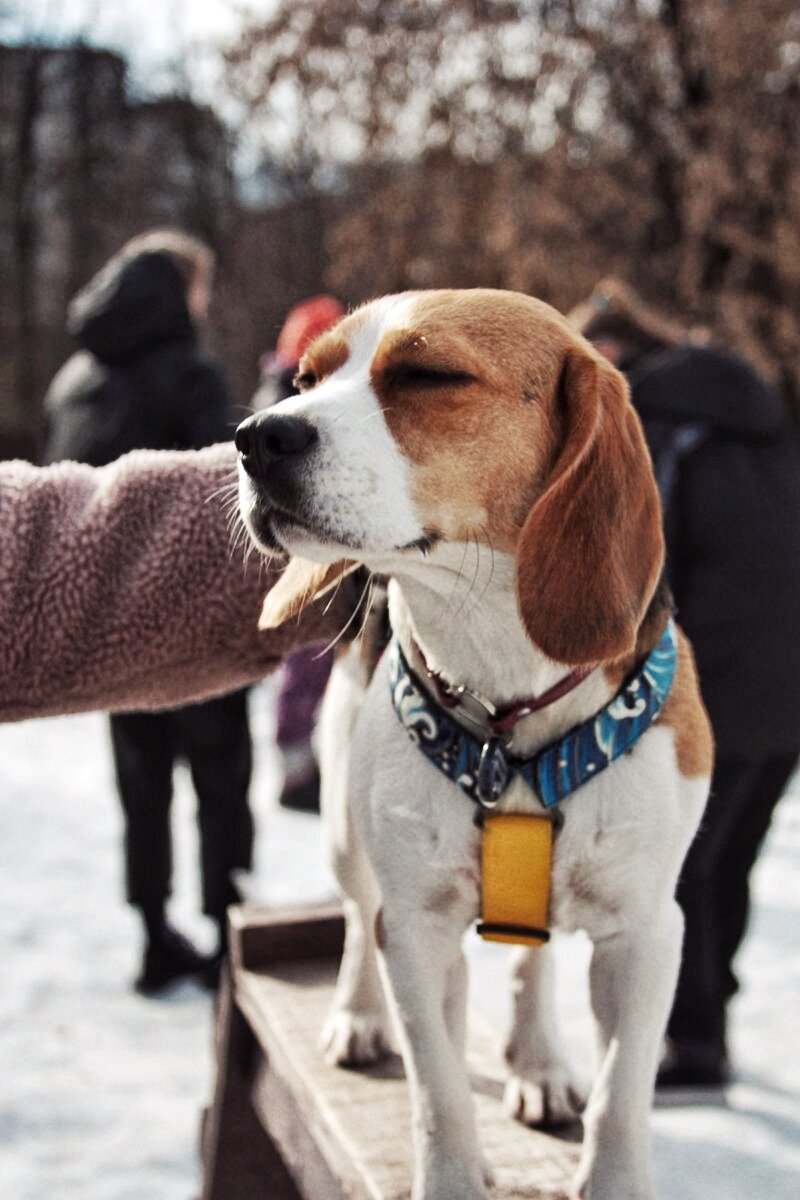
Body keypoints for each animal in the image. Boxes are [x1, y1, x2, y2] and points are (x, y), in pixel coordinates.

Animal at [235, 290, 710, 1200]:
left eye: (428, 375)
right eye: (307, 378)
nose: (255, 436)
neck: (505, 705)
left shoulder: (645, 934)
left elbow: (620, 1102)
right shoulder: (416, 927)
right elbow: (440, 1094)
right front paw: (451, 1173)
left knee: (533, 964)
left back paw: (537, 1061)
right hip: (348, 834)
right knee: (360, 922)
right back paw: (358, 1016)